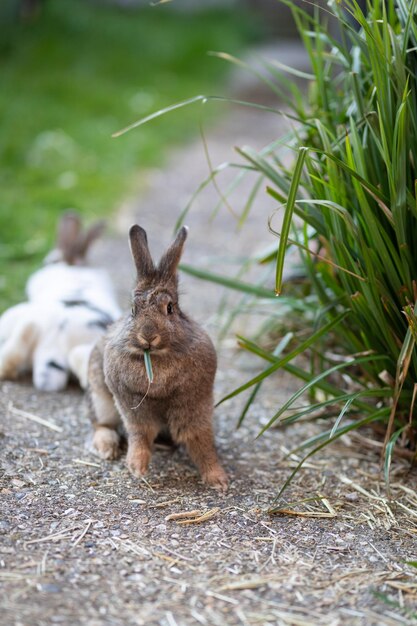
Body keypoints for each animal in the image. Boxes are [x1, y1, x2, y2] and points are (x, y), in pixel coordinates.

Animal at [0, 212, 120, 388]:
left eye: (51, 261)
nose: (45, 263)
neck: (74, 268)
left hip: (14, 317)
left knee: (9, 359)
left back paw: (29, 329)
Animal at [85, 225, 228, 492]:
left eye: (170, 308)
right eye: (133, 310)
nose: (148, 335)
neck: (158, 357)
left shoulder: (195, 404)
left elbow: (200, 440)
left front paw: (218, 480)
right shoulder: (132, 406)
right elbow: (140, 434)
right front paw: (137, 468)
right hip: (100, 397)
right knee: (101, 424)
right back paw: (107, 449)